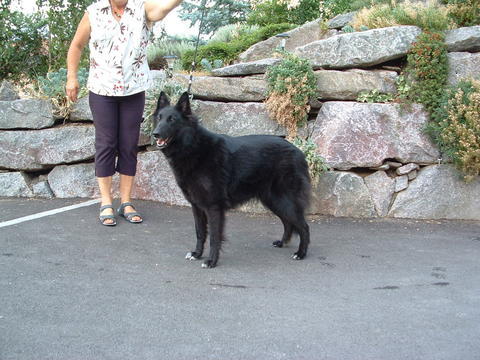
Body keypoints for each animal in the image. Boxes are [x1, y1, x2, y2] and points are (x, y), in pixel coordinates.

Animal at [153, 93, 312, 268]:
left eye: (172, 119)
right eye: (159, 118)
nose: (155, 133)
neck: (193, 147)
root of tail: (299, 152)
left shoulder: (213, 207)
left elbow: (214, 237)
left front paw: (211, 261)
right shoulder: (197, 206)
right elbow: (200, 233)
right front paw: (197, 254)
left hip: (284, 200)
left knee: (304, 227)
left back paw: (301, 253)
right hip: (274, 201)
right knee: (288, 222)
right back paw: (283, 243)